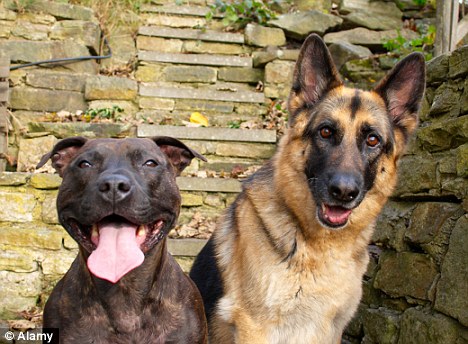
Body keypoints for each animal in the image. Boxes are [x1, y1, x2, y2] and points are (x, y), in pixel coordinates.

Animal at [188, 33, 426, 344]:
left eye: (372, 140)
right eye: (325, 131)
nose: (344, 191)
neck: (319, 246)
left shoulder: (330, 330)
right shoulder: (255, 327)